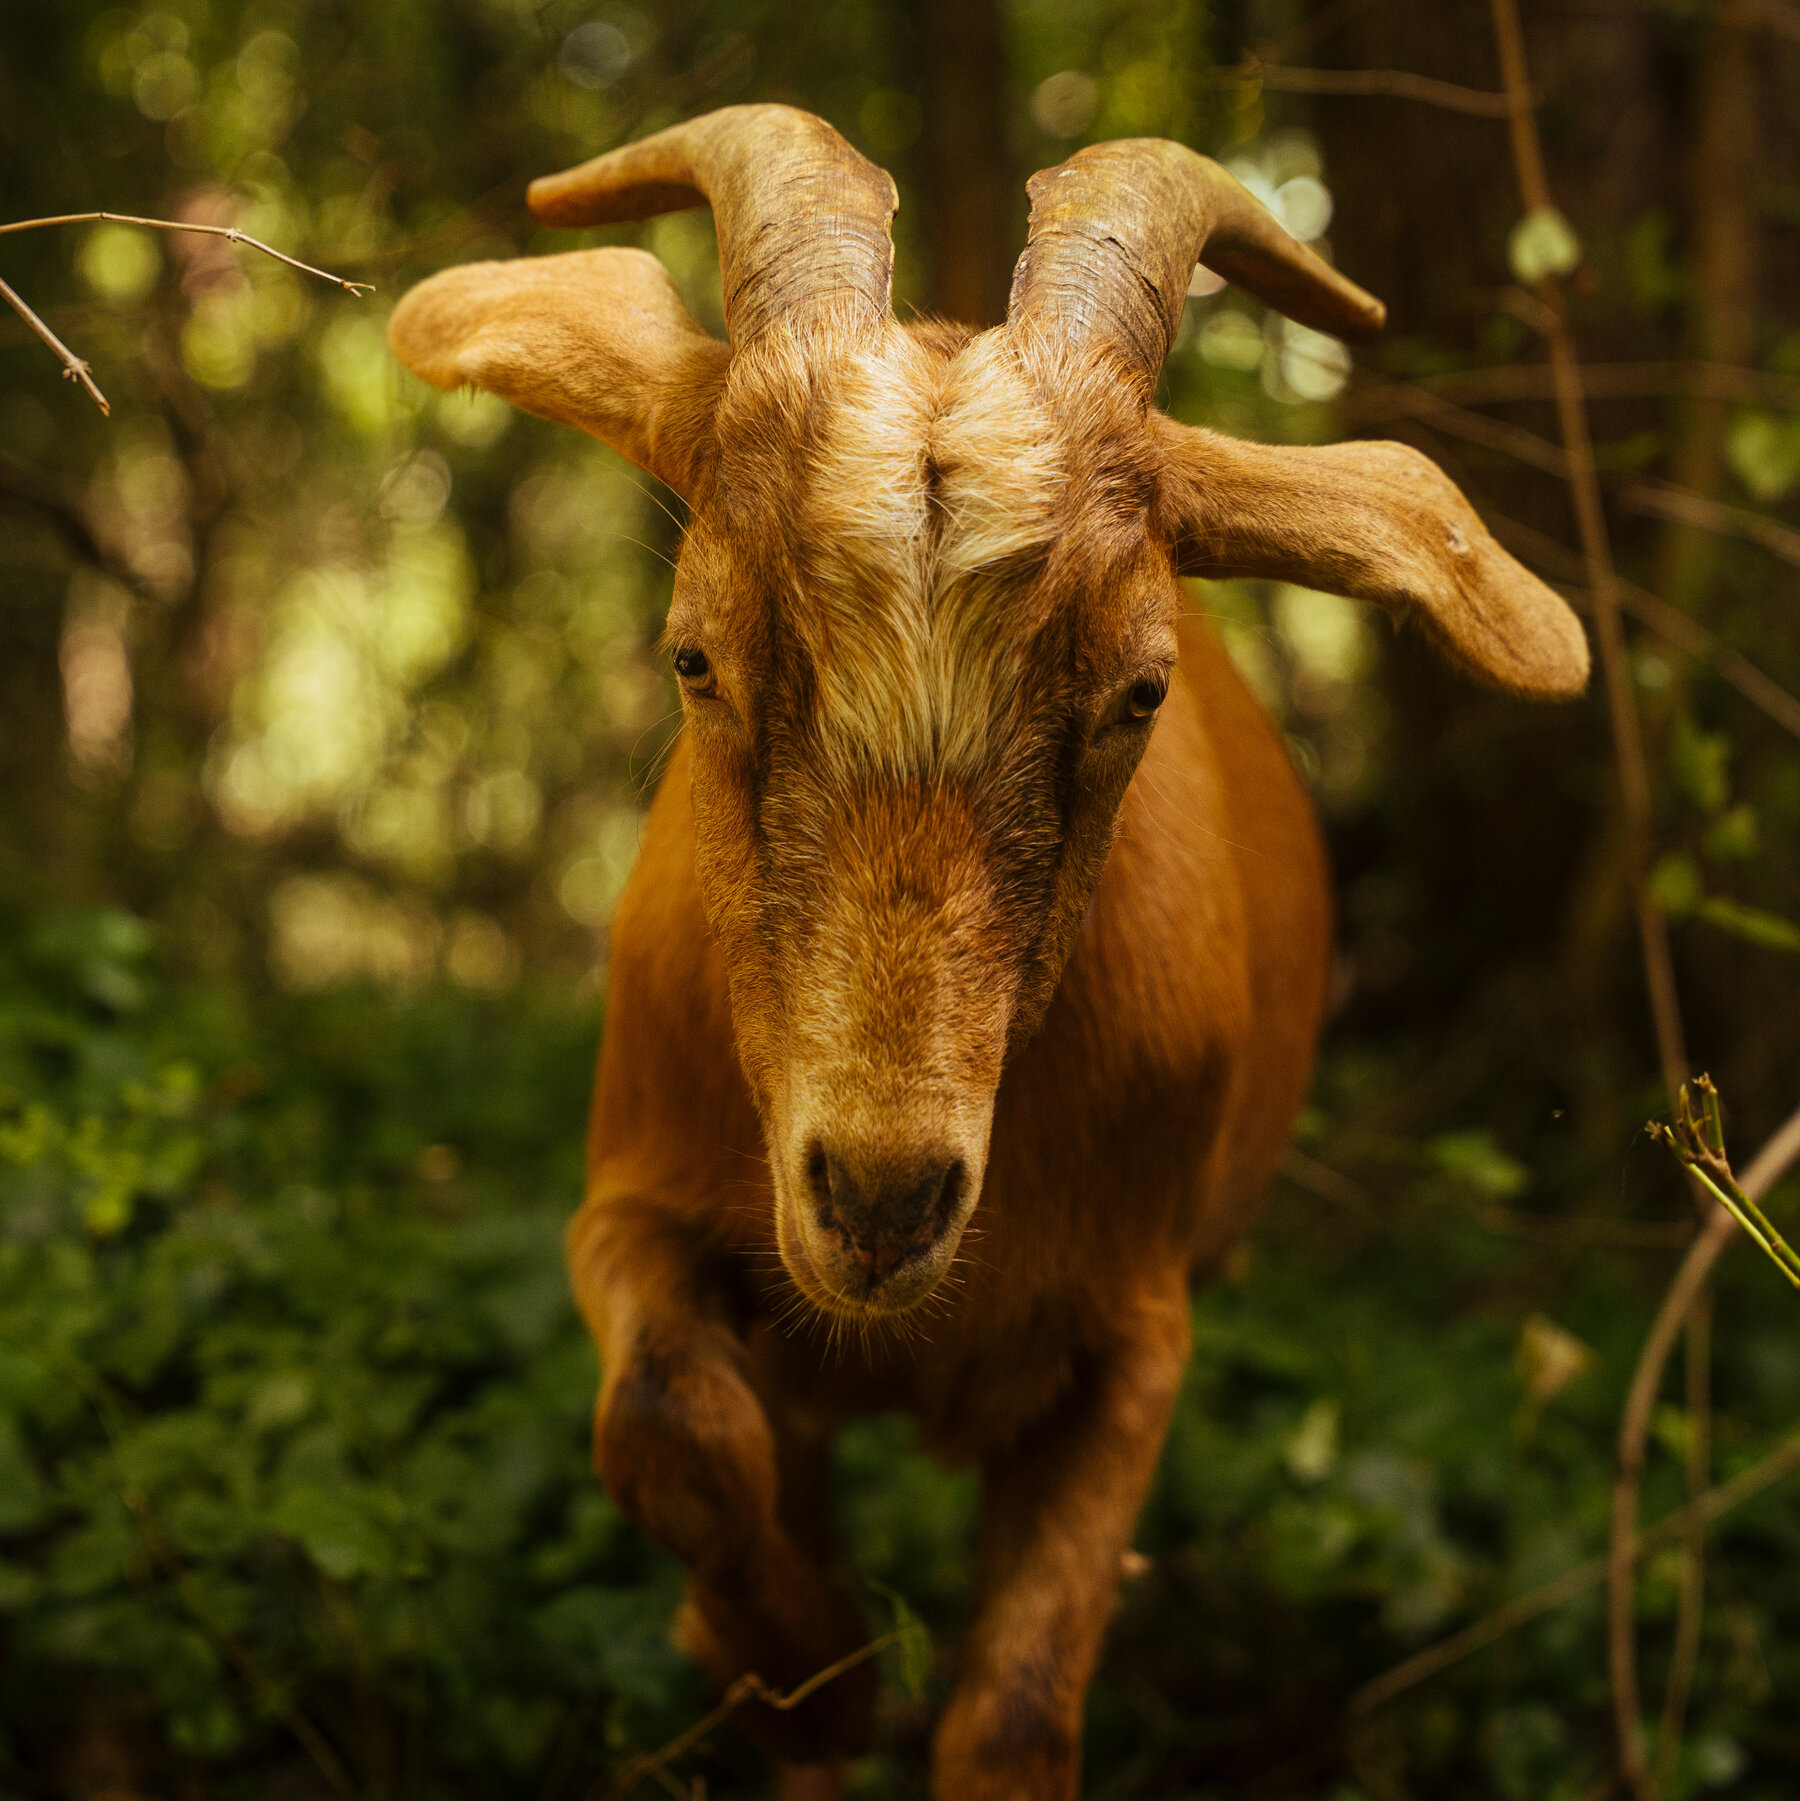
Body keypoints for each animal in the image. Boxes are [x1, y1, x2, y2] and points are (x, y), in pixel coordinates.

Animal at [389, 105, 1587, 1801]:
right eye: (694, 652)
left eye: (1142, 688)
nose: (882, 1193)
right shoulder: (631, 1203)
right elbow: (673, 1419)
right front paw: (793, 1669)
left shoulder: (1137, 1331)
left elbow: (1015, 1710)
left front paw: (813, 1667)